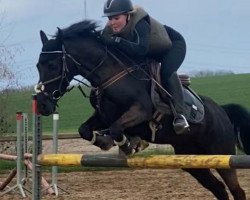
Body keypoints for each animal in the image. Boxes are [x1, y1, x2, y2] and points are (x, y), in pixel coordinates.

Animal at [33, 20, 250, 200]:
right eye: (37, 65)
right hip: (191, 159)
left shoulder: (141, 111)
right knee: (219, 188)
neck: (109, 74)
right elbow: (85, 130)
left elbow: (116, 128)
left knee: (236, 190)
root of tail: (222, 111)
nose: (42, 104)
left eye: (52, 65)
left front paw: (129, 145)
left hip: (221, 153)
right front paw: (105, 142)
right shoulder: (103, 116)